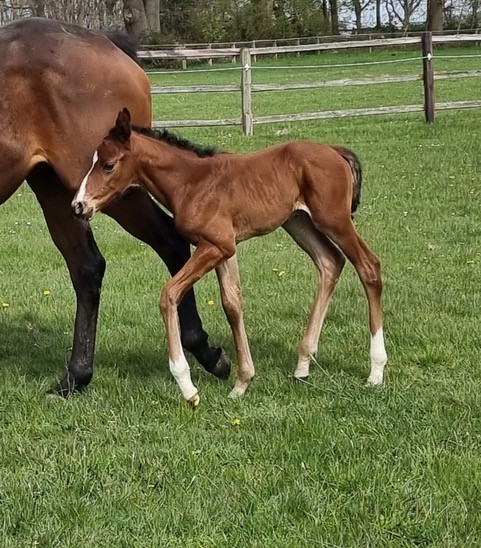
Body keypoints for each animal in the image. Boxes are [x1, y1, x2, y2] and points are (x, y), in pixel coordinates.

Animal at [0, 17, 229, 394]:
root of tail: (105, 41)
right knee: (87, 267)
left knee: (169, 242)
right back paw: (75, 377)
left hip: (110, 188)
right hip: (58, 189)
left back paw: (204, 352)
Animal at [70, 108, 386, 406]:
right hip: (299, 222)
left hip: (334, 220)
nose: (78, 205)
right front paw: (242, 382)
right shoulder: (223, 248)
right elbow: (232, 304)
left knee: (368, 266)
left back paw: (376, 371)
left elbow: (169, 294)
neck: (191, 182)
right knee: (330, 262)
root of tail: (335, 150)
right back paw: (303, 365)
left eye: (108, 165)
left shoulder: (215, 246)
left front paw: (187, 387)